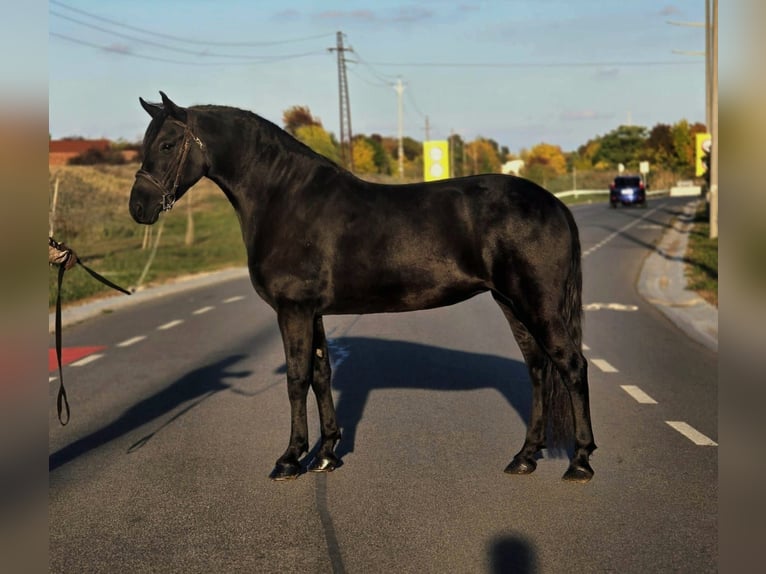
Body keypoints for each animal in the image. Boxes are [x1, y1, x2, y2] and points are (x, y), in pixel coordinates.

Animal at [129, 92, 596, 482]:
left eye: (167, 144)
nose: (138, 207)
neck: (285, 198)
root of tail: (555, 204)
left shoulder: (293, 309)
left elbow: (296, 378)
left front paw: (290, 459)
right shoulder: (312, 311)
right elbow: (321, 374)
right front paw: (325, 455)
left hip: (538, 303)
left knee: (571, 366)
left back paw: (580, 461)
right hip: (511, 303)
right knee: (538, 369)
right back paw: (525, 457)